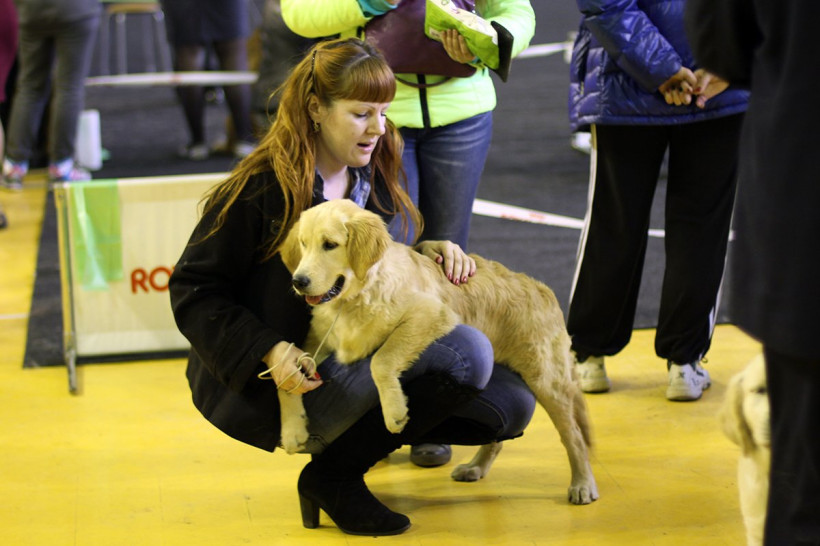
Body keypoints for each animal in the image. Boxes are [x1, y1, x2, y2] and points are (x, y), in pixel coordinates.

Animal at [278, 199, 598, 505]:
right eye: (303, 243)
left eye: (330, 244)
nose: (298, 281)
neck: (356, 297)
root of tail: (545, 291)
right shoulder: (316, 341)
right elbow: (286, 376)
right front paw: (292, 430)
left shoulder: (431, 313)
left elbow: (381, 360)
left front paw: (394, 412)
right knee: (498, 439)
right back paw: (476, 467)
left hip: (548, 381)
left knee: (574, 437)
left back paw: (582, 484)